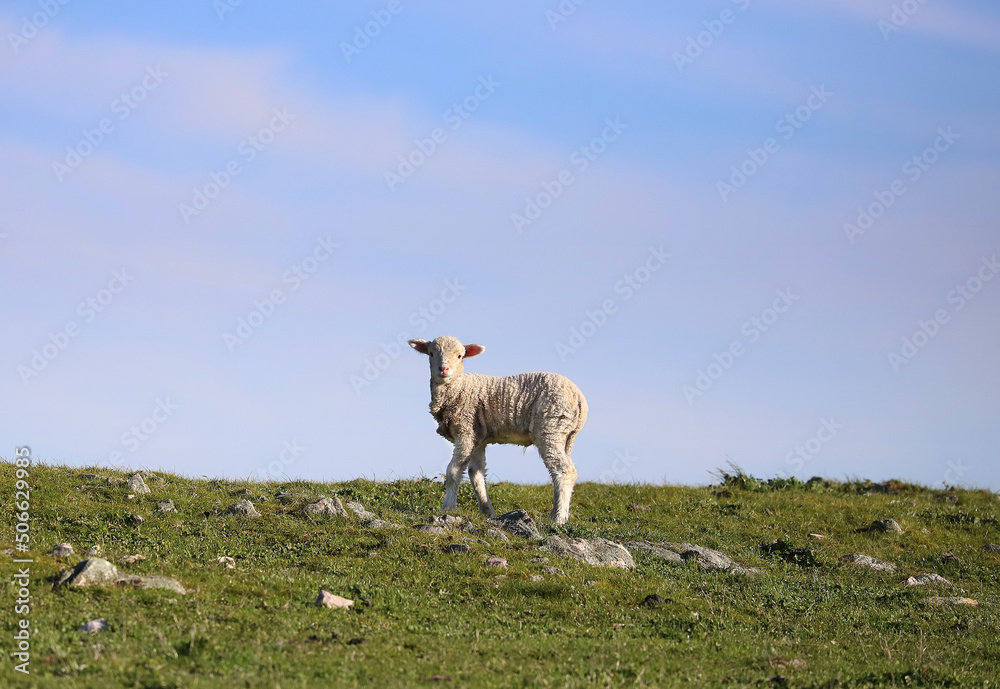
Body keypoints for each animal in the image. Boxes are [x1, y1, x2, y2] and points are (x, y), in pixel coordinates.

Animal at [409, 334, 588, 524]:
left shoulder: (465, 430)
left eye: (459, 356)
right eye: (431, 353)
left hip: (551, 427)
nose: (444, 369)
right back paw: (557, 512)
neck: (458, 388)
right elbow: (476, 474)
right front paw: (487, 511)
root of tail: (580, 399)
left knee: (564, 470)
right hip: (565, 434)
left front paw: (448, 508)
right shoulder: (477, 436)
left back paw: (559, 519)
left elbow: (453, 471)